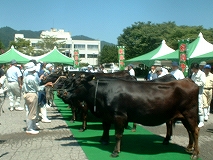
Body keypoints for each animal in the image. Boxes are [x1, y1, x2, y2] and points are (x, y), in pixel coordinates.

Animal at [68, 74, 200, 159]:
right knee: (189, 130)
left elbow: (117, 134)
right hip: (183, 116)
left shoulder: (119, 115)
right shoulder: (108, 115)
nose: (66, 93)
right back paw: (189, 148)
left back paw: (195, 153)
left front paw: (115, 151)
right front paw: (113, 144)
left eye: (78, 84)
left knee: (195, 131)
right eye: (71, 82)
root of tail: (188, 80)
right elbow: (112, 130)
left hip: (190, 113)